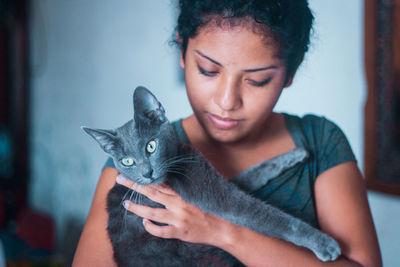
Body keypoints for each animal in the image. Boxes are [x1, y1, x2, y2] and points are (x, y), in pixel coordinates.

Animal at [82, 87, 340, 266]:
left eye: (151, 146)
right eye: (127, 161)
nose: (147, 172)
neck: (177, 158)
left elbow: (254, 172)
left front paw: (295, 154)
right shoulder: (210, 191)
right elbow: (267, 215)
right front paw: (324, 243)